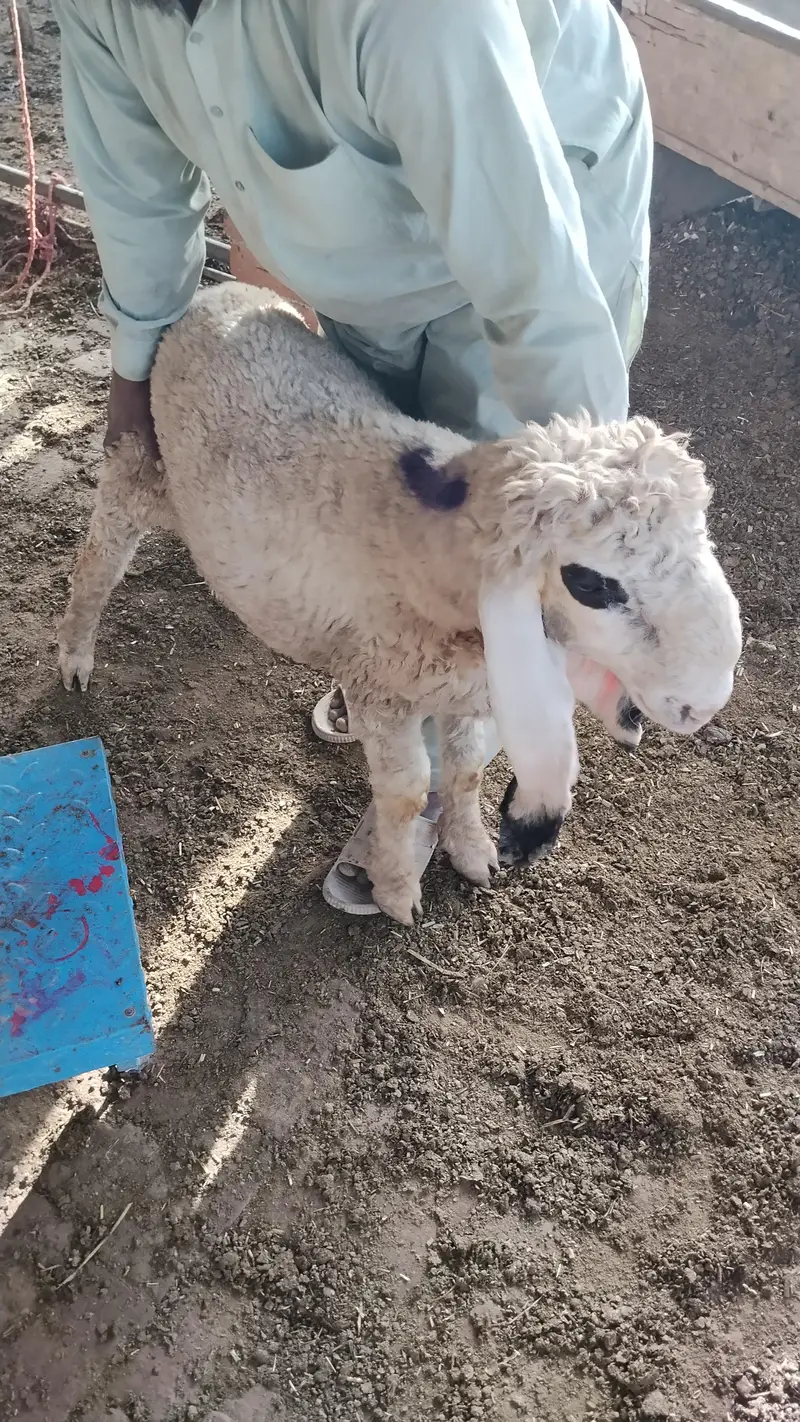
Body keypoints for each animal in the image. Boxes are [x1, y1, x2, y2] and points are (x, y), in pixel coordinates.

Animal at [57, 284, 742, 924]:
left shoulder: (467, 689)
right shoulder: (383, 690)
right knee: (98, 561)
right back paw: (74, 657)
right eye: (592, 583)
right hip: (142, 468)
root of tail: (219, 292)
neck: (430, 551)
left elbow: (465, 773)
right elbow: (407, 795)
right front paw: (395, 891)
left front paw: (474, 853)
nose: (704, 704)